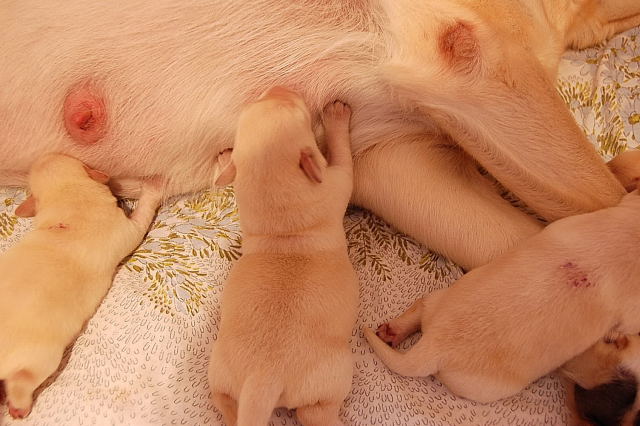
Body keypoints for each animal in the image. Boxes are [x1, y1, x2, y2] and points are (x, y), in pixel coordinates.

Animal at [0, 153, 161, 418]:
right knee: (23, 382)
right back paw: (18, 407)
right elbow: (142, 216)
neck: (69, 203)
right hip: (41, 359)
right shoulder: (127, 229)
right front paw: (153, 189)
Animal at [207, 88, 359, 426]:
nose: (281, 88)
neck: (283, 226)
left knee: (224, 403)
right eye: (298, 111)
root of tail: (264, 377)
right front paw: (336, 116)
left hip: (219, 372)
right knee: (315, 412)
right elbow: (343, 157)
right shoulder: (338, 181)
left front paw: (225, 159)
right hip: (333, 376)